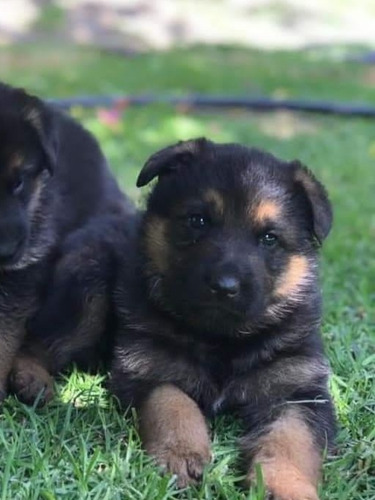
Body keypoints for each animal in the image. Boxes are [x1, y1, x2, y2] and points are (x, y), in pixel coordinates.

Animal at [110, 136, 336, 496]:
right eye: (198, 221)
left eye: (269, 238)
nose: (224, 286)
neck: (221, 339)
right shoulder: (146, 369)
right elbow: (173, 402)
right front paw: (180, 453)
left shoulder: (298, 392)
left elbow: (290, 439)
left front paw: (285, 485)